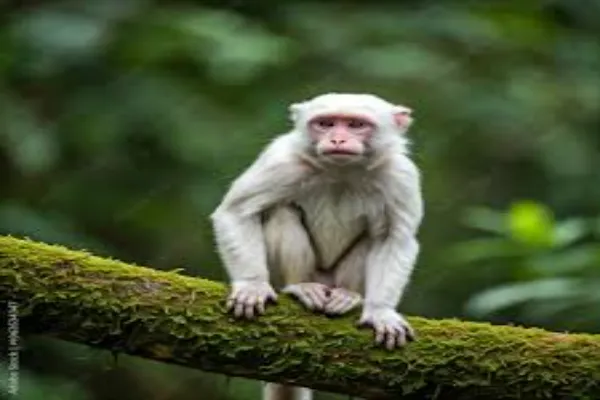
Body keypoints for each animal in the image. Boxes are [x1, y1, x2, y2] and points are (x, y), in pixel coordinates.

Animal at [211, 93, 422, 400]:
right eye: (325, 123)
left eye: (356, 124)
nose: (337, 139)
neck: (342, 171)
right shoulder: (281, 161)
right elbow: (236, 212)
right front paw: (252, 285)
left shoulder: (400, 176)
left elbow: (394, 239)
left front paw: (380, 310)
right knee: (282, 212)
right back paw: (300, 286)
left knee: (373, 237)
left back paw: (347, 295)